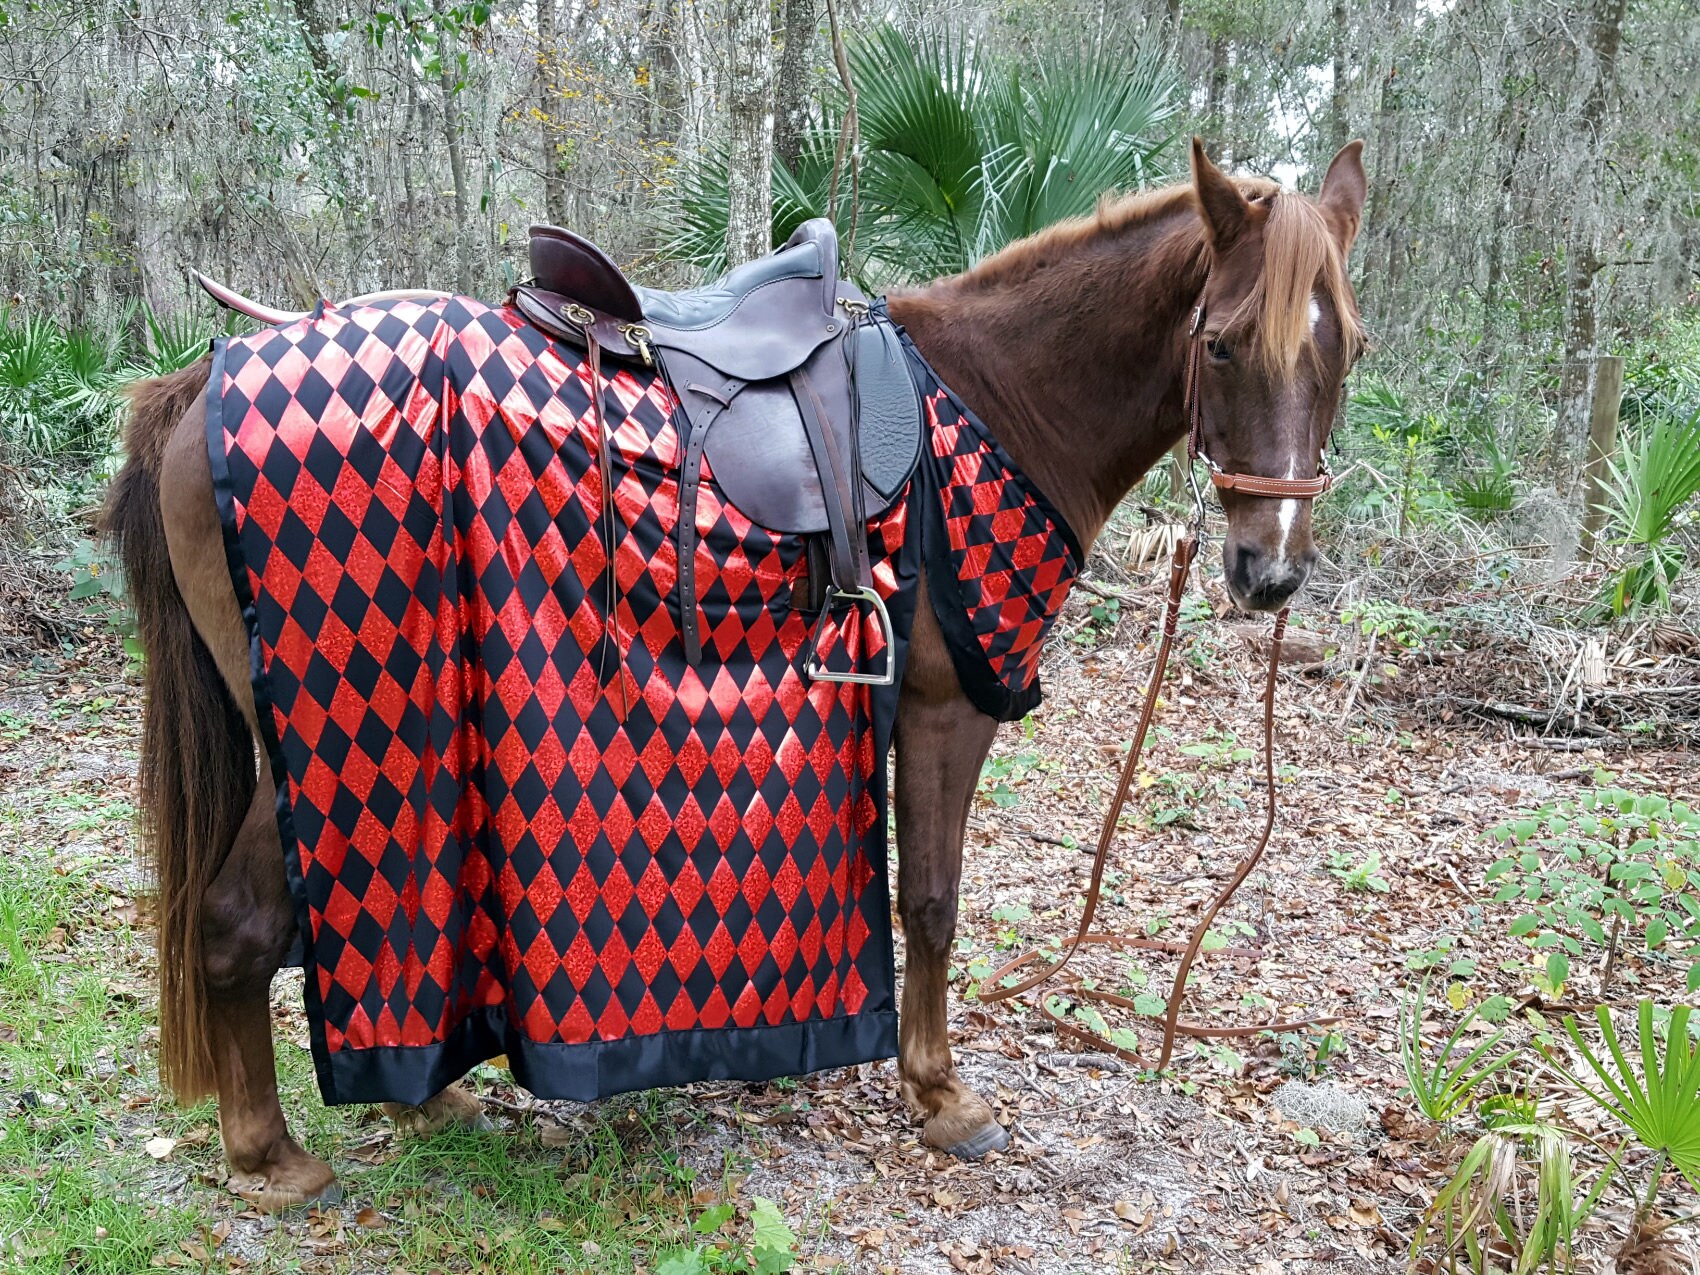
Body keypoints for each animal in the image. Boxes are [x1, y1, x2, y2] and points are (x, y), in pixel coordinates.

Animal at [104, 138, 1366, 1209]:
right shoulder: (946, 705)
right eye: (1221, 342)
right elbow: (931, 901)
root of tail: (203, 382)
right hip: (323, 733)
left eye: (1343, 348)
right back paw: (273, 1156)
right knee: (239, 920)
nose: (1269, 572)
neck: (995, 400)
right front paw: (940, 1097)